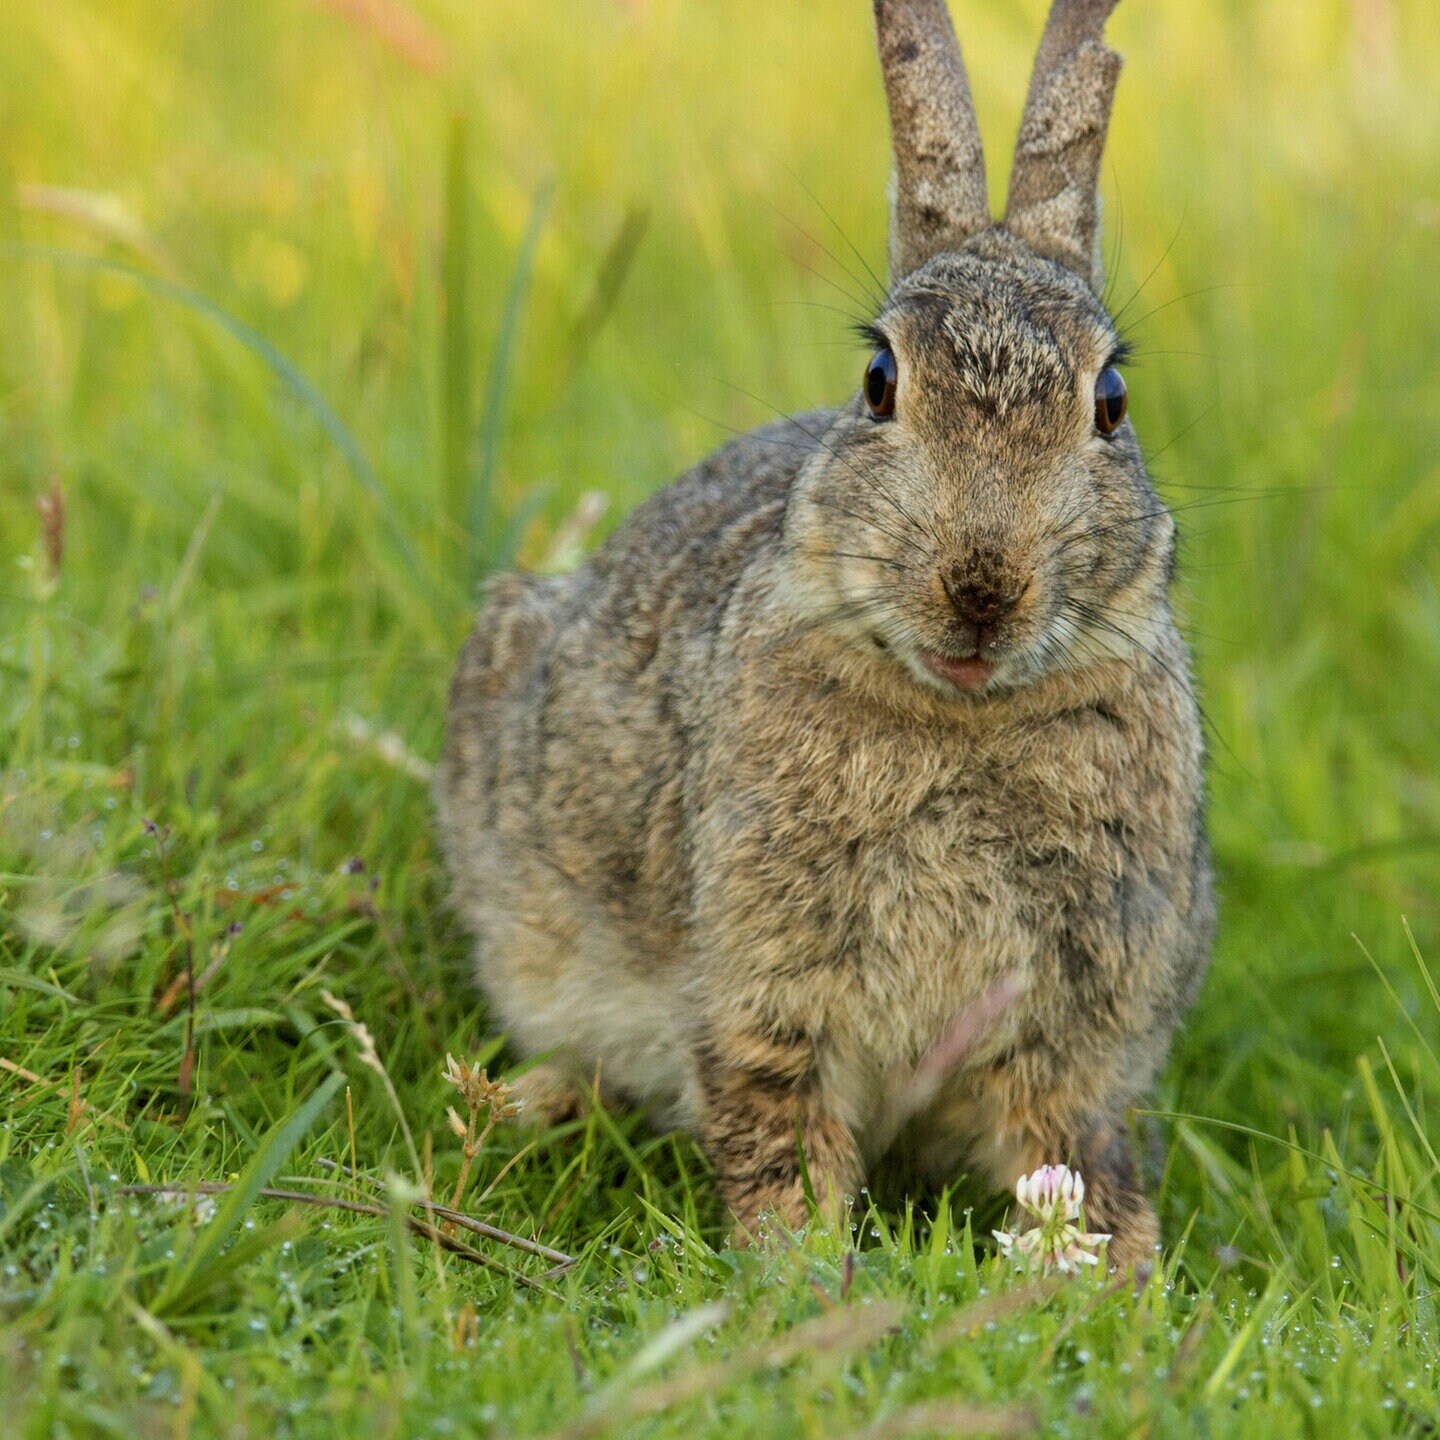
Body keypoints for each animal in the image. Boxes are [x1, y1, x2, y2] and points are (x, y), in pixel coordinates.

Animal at [437, 0, 1215, 1273]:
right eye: (878, 379)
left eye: (1111, 404)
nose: (982, 587)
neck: (960, 711)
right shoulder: (766, 988)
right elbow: (776, 1127)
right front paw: (800, 1274)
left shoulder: (1075, 1016)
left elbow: (1071, 1153)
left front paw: (1114, 1283)